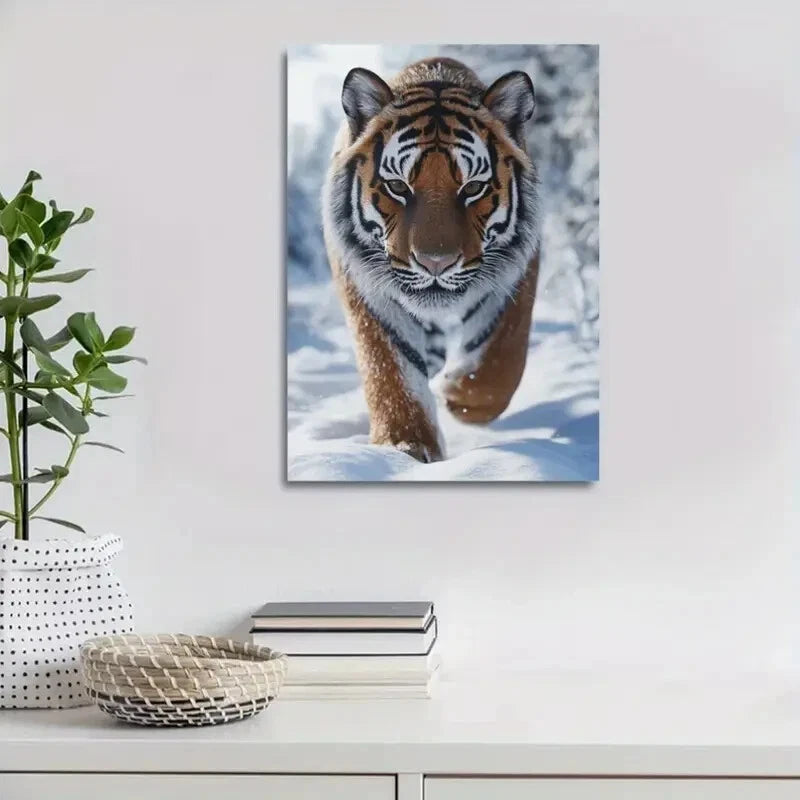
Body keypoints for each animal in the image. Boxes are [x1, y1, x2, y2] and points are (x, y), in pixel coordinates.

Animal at [322, 57, 540, 463]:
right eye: (397, 187)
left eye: (473, 188)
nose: (435, 263)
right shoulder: (364, 283)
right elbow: (390, 369)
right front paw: (405, 445)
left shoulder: (516, 274)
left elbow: (501, 359)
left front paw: (456, 396)